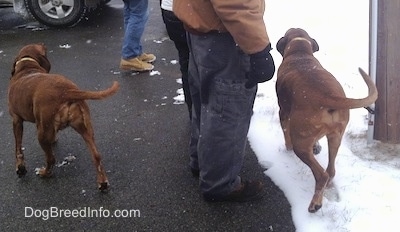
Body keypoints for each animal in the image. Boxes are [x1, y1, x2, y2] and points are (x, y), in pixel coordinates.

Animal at [8, 43, 119, 190]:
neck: (27, 66)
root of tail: (66, 91)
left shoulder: (16, 120)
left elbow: (18, 148)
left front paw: (20, 169)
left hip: (42, 134)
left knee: (51, 159)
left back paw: (44, 173)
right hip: (86, 129)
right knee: (96, 156)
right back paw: (103, 182)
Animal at [276, 28, 378, 212]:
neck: (300, 52)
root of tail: (327, 96)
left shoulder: (283, 112)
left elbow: (285, 132)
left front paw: (286, 149)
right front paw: (316, 146)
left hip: (301, 144)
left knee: (321, 174)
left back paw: (315, 203)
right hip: (336, 137)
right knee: (330, 170)